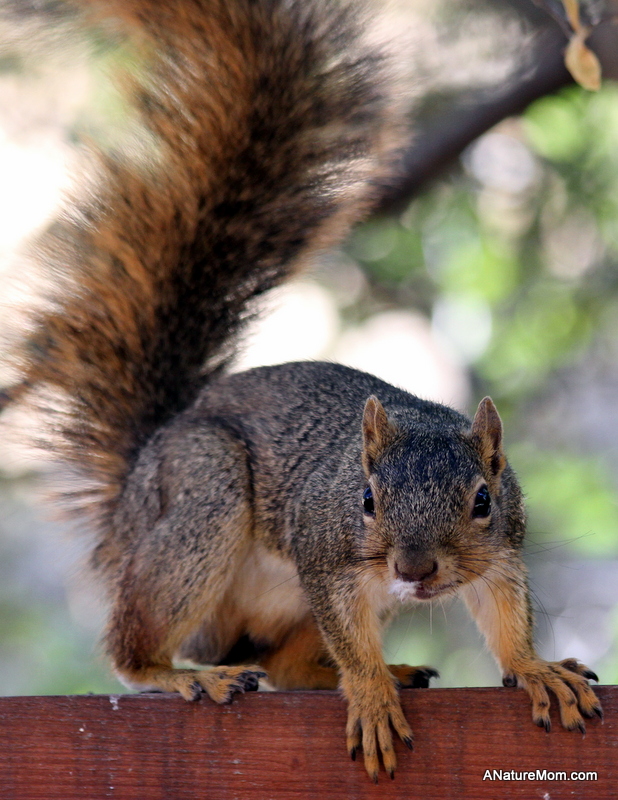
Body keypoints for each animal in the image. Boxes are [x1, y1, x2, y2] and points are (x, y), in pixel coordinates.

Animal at [3, 0, 602, 784]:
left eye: (482, 500)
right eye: (367, 500)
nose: (414, 569)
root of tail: (129, 497)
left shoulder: (502, 548)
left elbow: (505, 611)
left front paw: (534, 669)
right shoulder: (325, 558)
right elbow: (349, 635)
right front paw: (371, 693)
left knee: (285, 666)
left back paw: (372, 670)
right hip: (202, 494)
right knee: (137, 647)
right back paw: (188, 676)